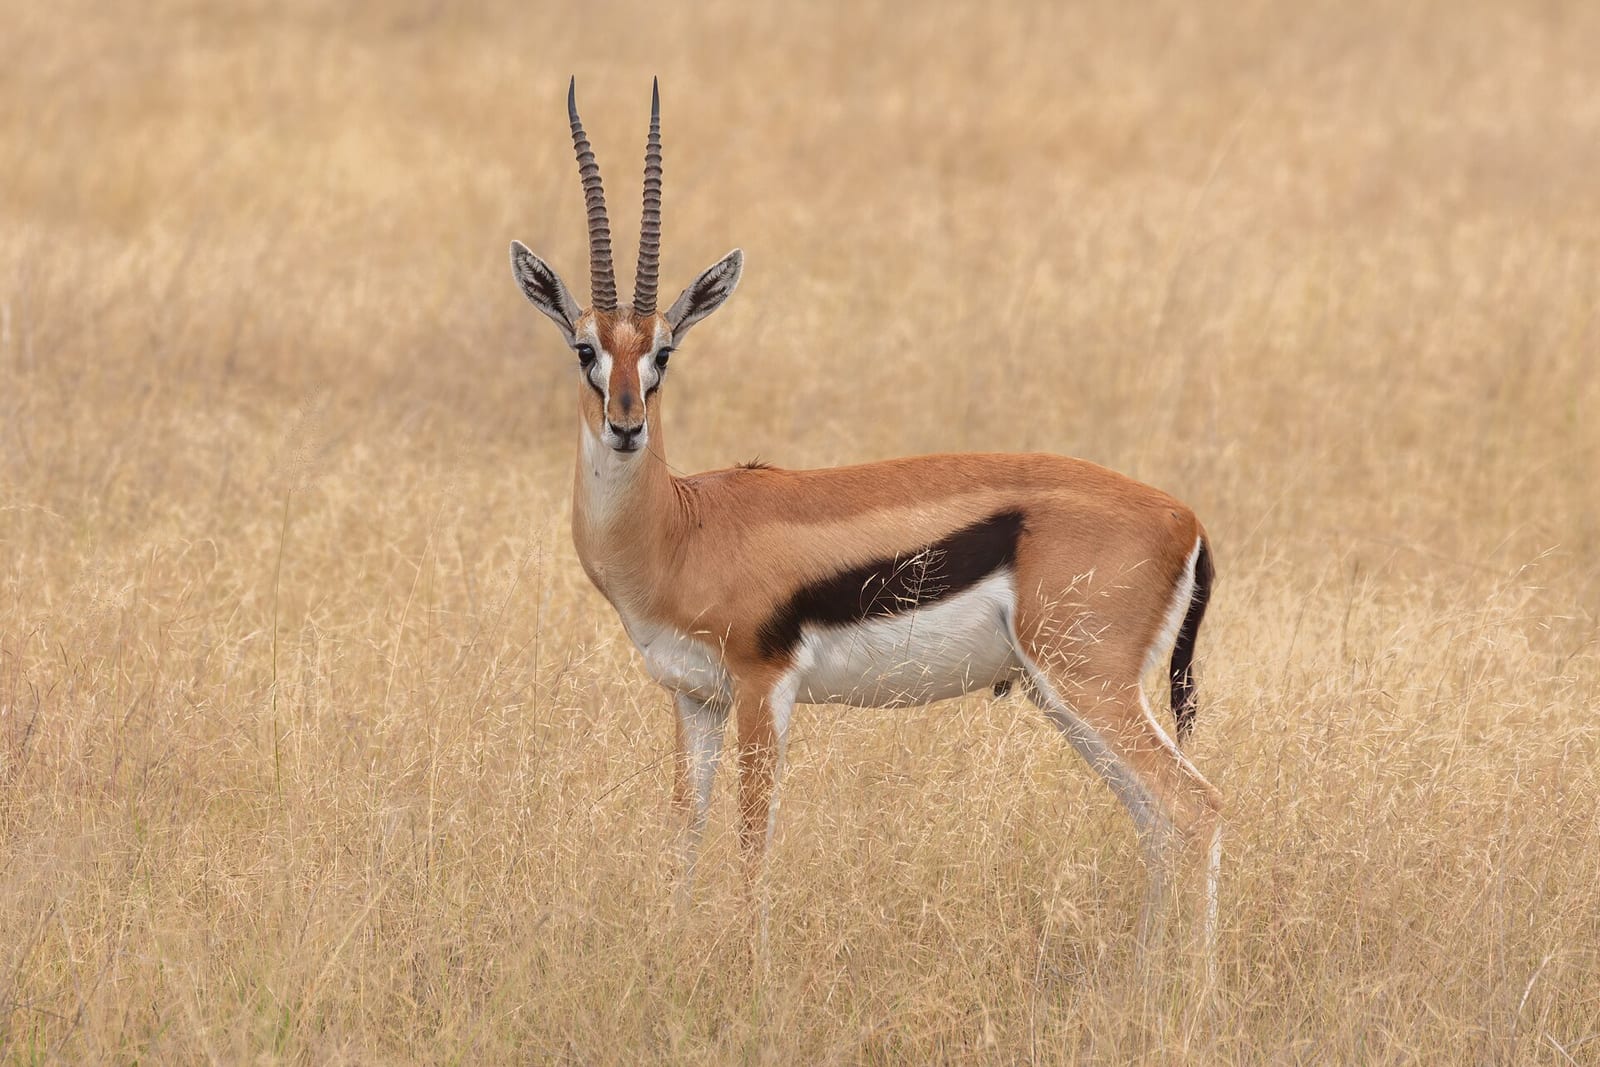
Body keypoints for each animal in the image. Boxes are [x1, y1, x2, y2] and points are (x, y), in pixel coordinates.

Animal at [509, 79, 1224, 957]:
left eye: (664, 352)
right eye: (585, 349)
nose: (625, 424)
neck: (681, 528)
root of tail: (1185, 518)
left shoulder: (763, 687)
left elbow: (752, 843)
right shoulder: (694, 698)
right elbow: (683, 834)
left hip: (1089, 685)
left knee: (1197, 809)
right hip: (1067, 697)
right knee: (1157, 823)